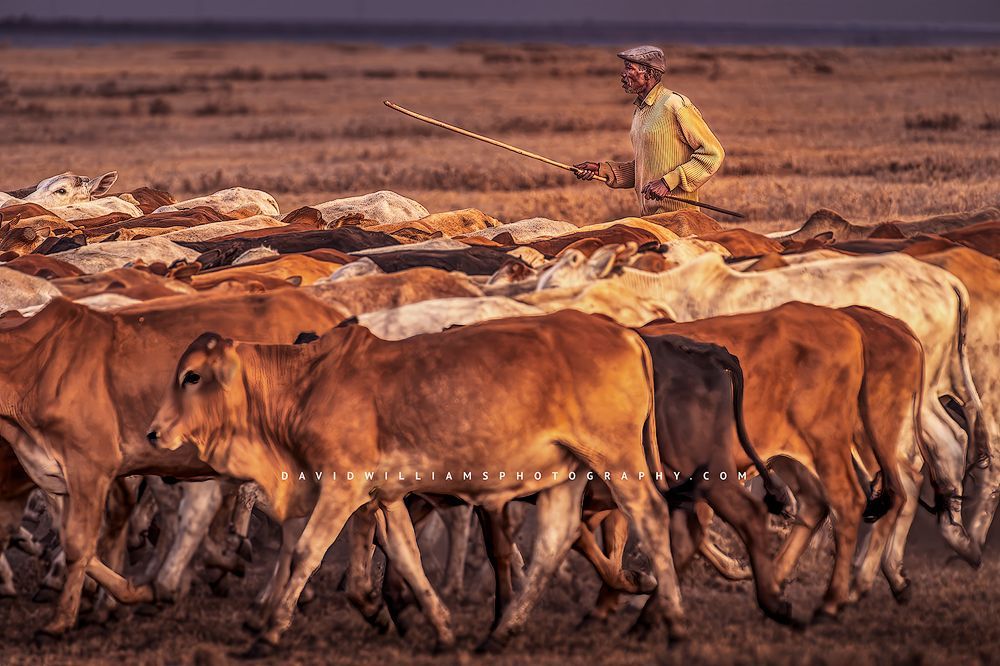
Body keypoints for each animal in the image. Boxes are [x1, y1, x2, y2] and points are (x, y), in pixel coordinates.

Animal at [0, 291, 349, 637]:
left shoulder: (90, 468)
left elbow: (78, 545)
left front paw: (61, 619)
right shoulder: (50, 475)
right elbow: (78, 544)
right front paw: (136, 592)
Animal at [146, 310, 687, 653]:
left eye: (192, 377)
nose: (154, 432)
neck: (305, 384)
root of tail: (625, 334)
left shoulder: (342, 486)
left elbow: (306, 552)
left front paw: (270, 633)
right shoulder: (384, 497)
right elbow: (407, 559)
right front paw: (443, 631)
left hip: (617, 458)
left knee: (651, 515)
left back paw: (675, 623)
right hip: (565, 470)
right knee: (554, 540)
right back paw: (502, 632)